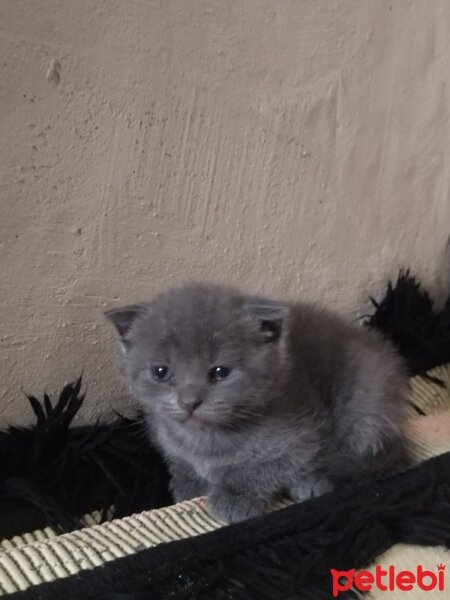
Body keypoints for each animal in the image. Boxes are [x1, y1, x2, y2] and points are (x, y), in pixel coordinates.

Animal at [104, 284, 408, 524]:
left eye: (220, 372)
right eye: (161, 372)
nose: (189, 401)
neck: (207, 440)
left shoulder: (301, 440)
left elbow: (262, 468)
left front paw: (235, 496)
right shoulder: (165, 435)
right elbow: (180, 460)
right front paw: (188, 483)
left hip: (365, 406)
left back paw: (313, 481)